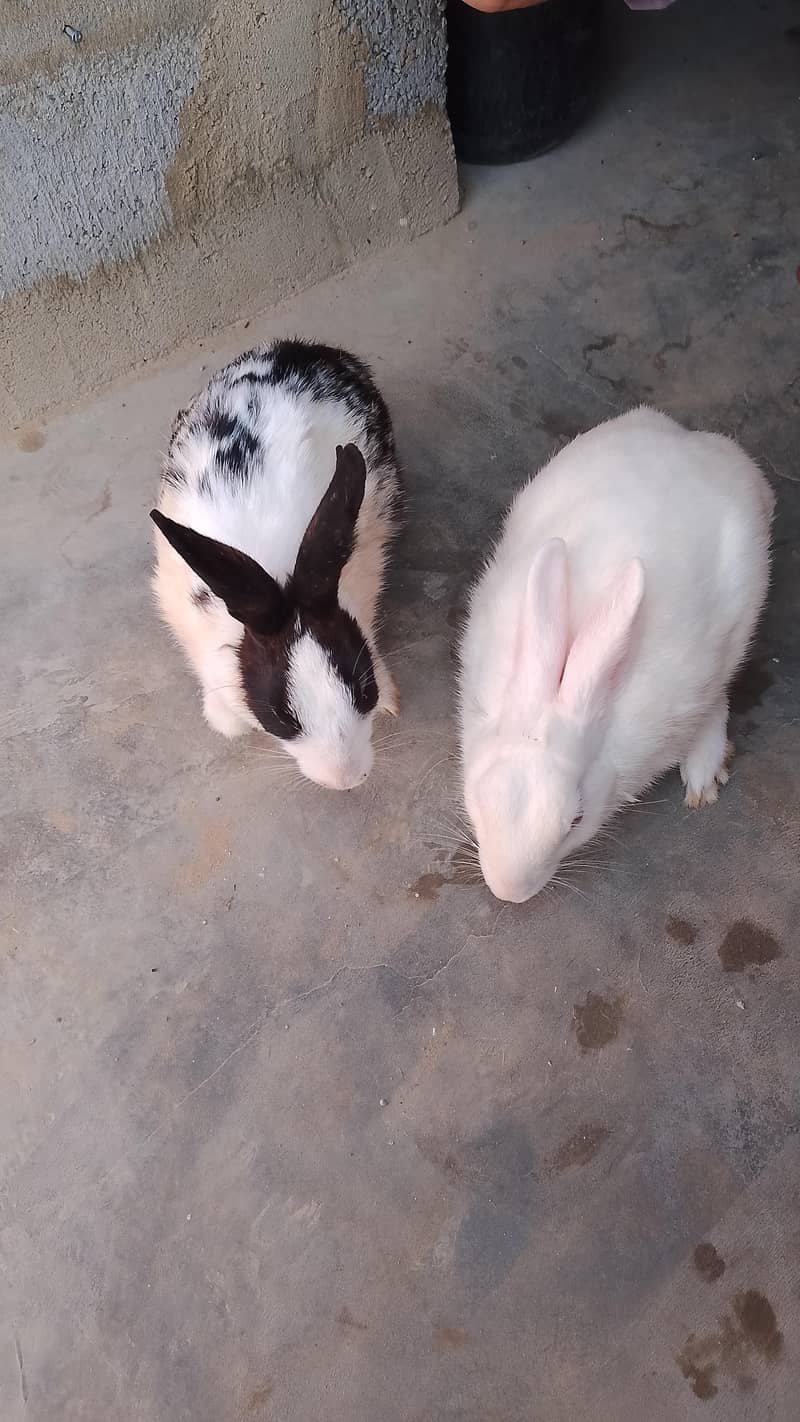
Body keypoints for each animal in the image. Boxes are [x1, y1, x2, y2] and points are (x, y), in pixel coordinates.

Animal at [151, 338, 401, 791]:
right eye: (284, 717)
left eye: (364, 690)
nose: (346, 779)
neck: (280, 575)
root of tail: (303, 349)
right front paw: (228, 722)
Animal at [459, 407, 774, 903]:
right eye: (477, 796)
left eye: (576, 821)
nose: (510, 891)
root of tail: (706, 446)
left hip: (738, 618)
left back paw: (703, 771)